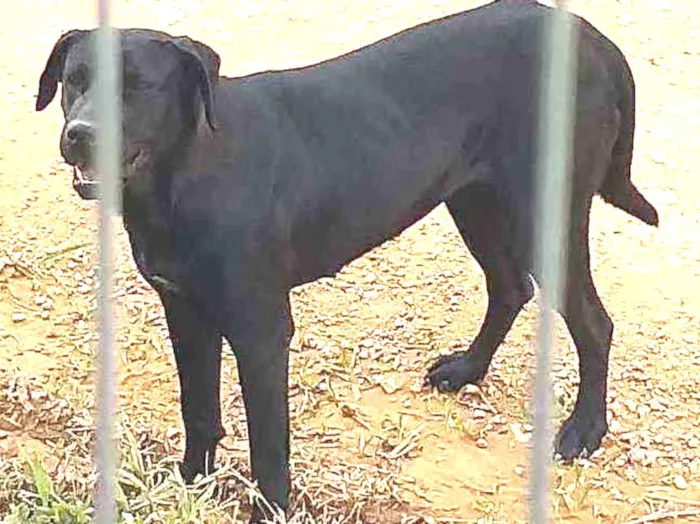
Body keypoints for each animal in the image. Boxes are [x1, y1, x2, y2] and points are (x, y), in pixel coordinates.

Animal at [38, 0, 656, 520]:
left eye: (139, 88)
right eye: (74, 81)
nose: (79, 136)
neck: (188, 171)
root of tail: (592, 38)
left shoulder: (261, 331)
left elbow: (269, 447)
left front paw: (270, 510)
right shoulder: (185, 310)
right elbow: (199, 410)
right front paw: (191, 485)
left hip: (543, 213)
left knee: (593, 324)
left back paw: (584, 430)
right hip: (473, 200)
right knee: (511, 288)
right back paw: (466, 371)